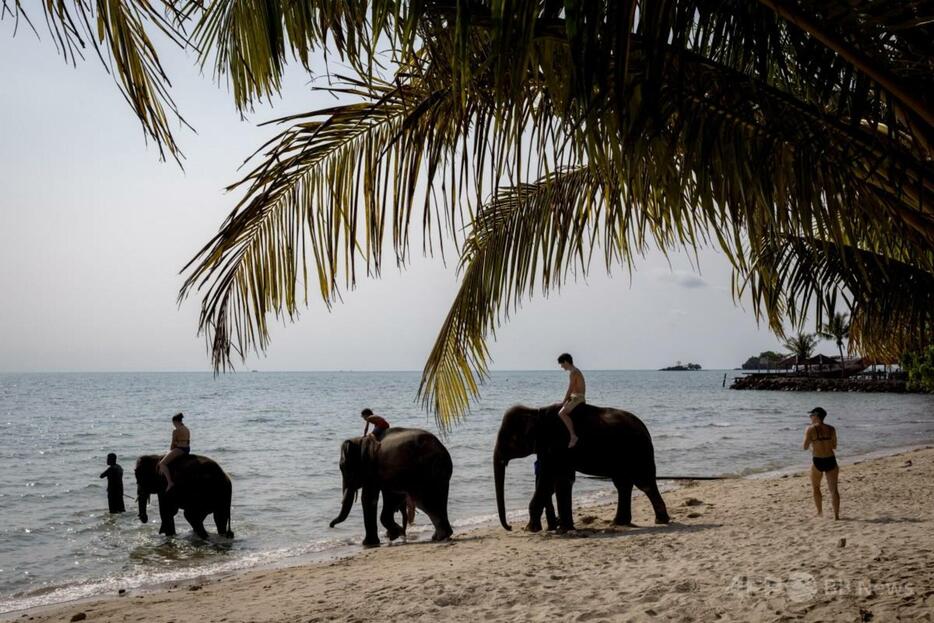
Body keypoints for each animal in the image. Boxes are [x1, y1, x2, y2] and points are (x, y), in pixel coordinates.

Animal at [494, 408, 668, 532]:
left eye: (509, 439)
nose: (510, 527)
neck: (537, 411)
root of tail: (645, 428)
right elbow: (563, 480)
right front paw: (565, 528)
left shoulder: (557, 447)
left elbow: (548, 479)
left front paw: (530, 529)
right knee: (623, 484)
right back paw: (618, 523)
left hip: (638, 453)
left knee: (644, 483)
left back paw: (660, 520)